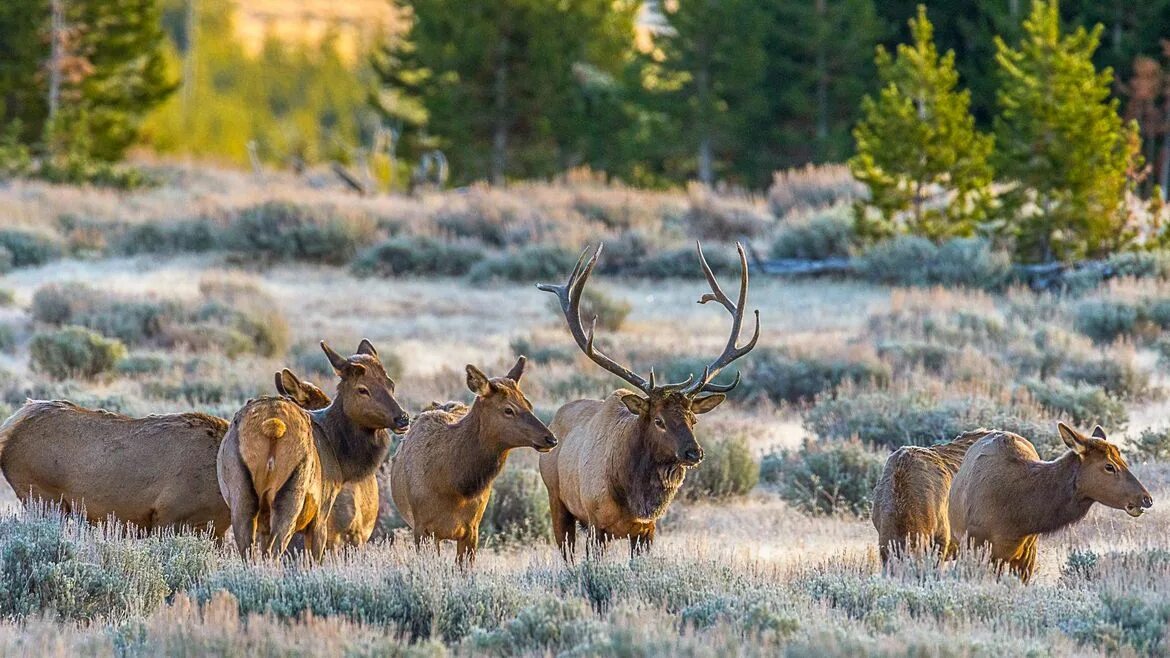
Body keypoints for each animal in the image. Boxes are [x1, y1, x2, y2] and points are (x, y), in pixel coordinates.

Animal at [217, 337, 409, 557]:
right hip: (292, 494)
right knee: (276, 549)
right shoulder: (321, 514)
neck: (341, 460)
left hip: (240, 493)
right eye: (362, 389)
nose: (402, 418)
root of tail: (272, 424)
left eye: (391, 383)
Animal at [538, 241, 758, 552]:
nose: (694, 452)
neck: (634, 500)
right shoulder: (595, 522)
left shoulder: (647, 529)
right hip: (557, 500)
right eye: (658, 421)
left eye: (693, 420)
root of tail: (554, 421)